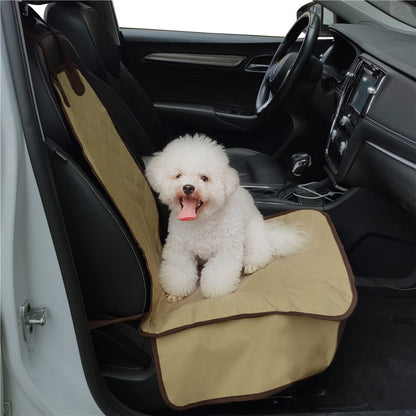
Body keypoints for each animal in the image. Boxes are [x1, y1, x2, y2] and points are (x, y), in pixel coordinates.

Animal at [145, 135, 306, 300]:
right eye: (178, 175)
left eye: (204, 178)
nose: (188, 187)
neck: (201, 221)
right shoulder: (179, 250)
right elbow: (178, 272)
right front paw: (176, 293)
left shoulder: (225, 250)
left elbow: (219, 272)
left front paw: (216, 290)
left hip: (252, 233)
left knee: (260, 251)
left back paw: (252, 264)